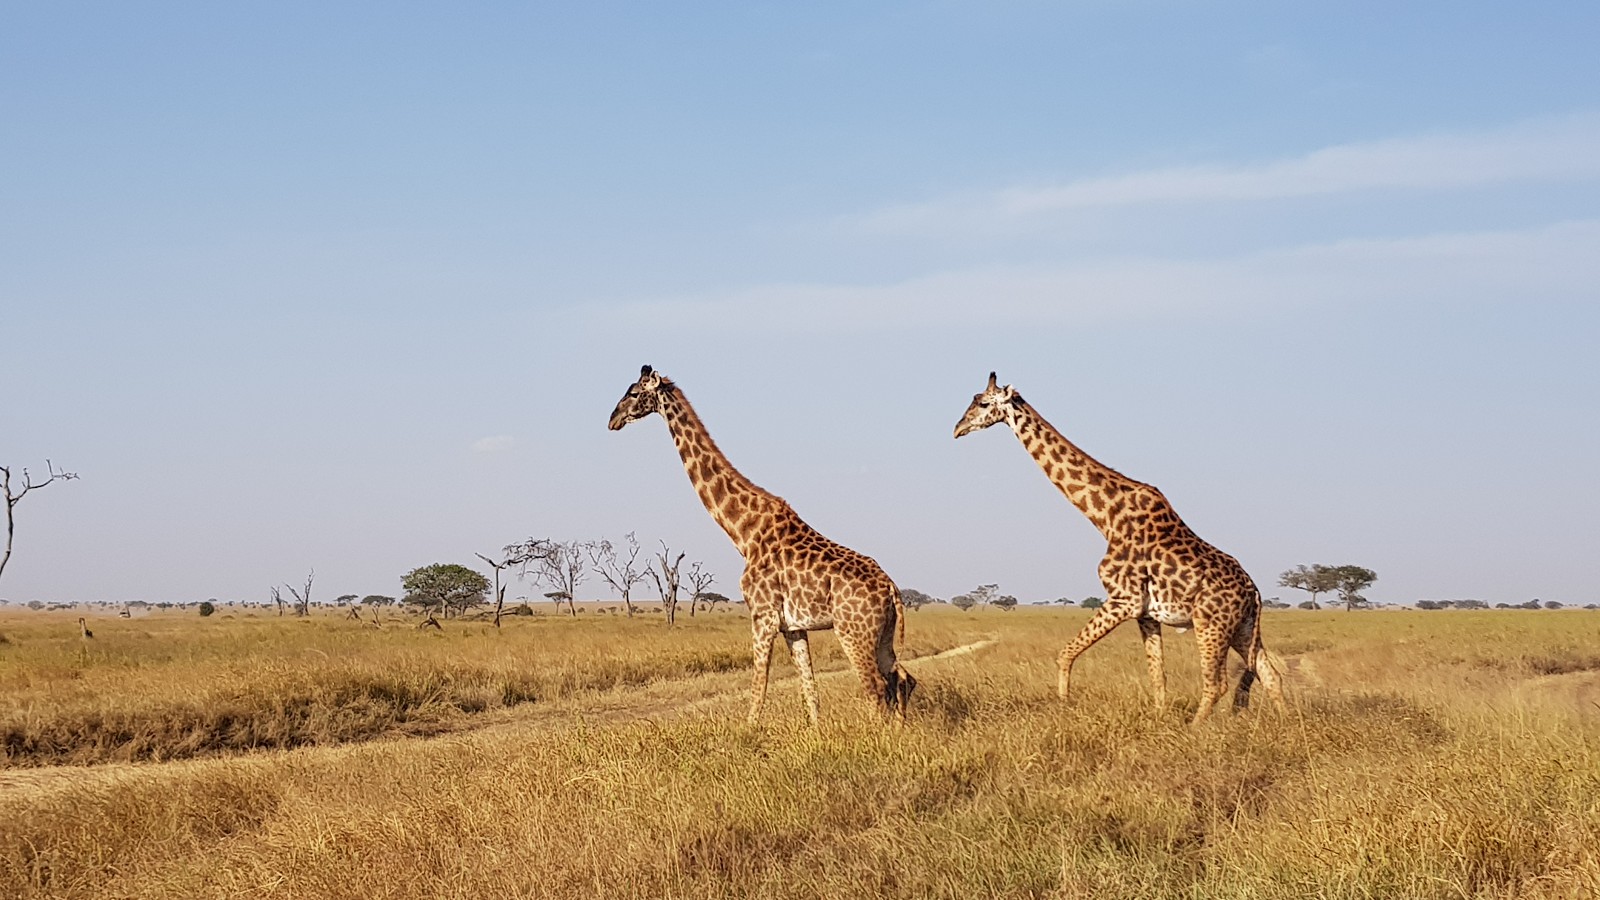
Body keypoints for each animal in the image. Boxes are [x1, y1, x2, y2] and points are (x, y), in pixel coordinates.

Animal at [608, 365, 921, 720]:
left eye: (634, 392)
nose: (612, 419)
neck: (744, 532)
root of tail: (892, 590)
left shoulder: (762, 615)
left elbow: (759, 690)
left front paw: (748, 730)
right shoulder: (793, 626)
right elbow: (809, 690)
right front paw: (816, 731)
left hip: (853, 631)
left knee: (877, 688)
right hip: (882, 635)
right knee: (902, 678)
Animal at [947, 371, 1286, 720]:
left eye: (982, 403)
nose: (957, 428)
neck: (1104, 517)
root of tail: (1255, 593)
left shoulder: (1124, 599)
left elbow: (1066, 653)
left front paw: (1064, 705)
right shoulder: (1146, 613)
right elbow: (1157, 675)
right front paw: (1159, 718)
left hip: (1211, 623)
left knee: (1218, 683)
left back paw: (1196, 727)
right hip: (1242, 627)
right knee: (1270, 673)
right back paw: (1286, 722)